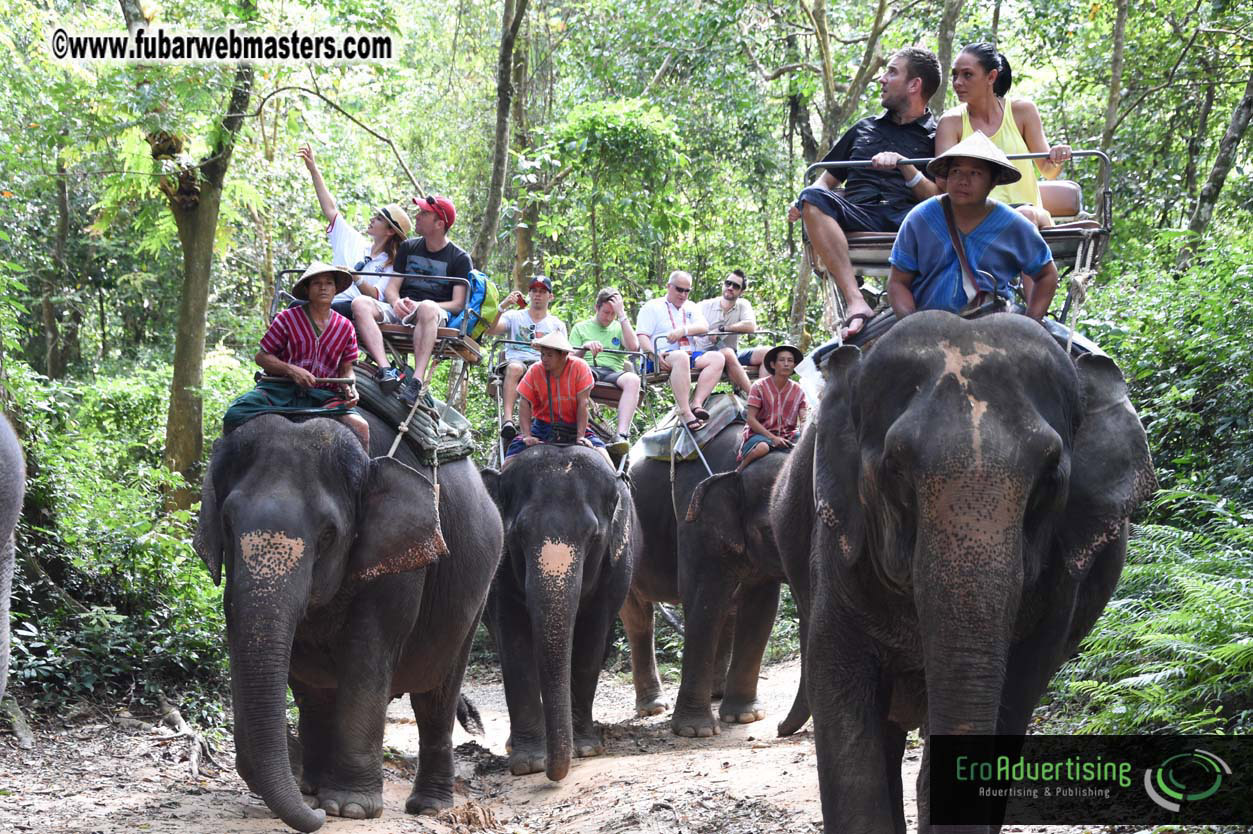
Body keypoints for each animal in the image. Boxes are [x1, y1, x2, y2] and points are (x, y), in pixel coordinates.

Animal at [195, 413, 502, 833]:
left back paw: (429, 807)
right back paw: (313, 787)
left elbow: (366, 656)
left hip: (476, 598)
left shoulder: (399, 562)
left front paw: (349, 808)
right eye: (226, 522)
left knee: (436, 698)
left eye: (328, 535)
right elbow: (277, 658)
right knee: (319, 695)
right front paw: (315, 796)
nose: (317, 816)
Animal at [481, 444, 636, 781]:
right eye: (518, 535)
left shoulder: (612, 571)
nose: (554, 774)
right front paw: (529, 764)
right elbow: (513, 642)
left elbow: (590, 641)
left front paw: (585, 749)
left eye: (594, 537)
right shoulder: (500, 573)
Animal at [624, 414, 799, 737]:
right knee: (638, 617)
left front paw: (745, 717)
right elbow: (704, 600)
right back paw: (654, 708)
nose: (780, 728)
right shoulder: (693, 517)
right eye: (770, 530)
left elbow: (760, 609)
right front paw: (696, 731)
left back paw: (716, 695)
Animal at [773, 311, 1155, 834]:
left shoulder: (1058, 591)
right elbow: (840, 696)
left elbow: (1013, 698)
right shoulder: (836, 551)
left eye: (1051, 478)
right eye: (895, 469)